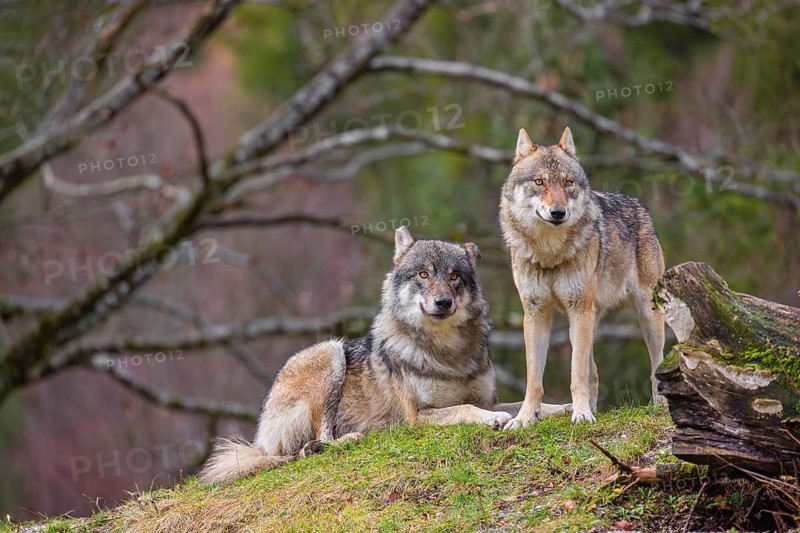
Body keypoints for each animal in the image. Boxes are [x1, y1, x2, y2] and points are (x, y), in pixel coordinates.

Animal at [200, 227, 570, 484]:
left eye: (454, 277)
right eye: (423, 274)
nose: (443, 303)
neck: (448, 353)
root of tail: (260, 439)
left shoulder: (489, 398)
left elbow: (525, 405)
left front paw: (565, 408)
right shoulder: (418, 415)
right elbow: (465, 408)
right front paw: (493, 420)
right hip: (330, 353)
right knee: (313, 443)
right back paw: (349, 439)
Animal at [499, 126, 666, 429]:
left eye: (567, 183)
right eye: (539, 182)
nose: (558, 212)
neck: (550, 253)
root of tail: (638, 205)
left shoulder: (579, 309)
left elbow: (576, 374)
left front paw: (582, 415)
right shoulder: (535, 313)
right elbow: (534, 379)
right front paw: (525, 418)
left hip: (644, 314)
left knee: (656, 364)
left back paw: (659, 403)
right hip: (584, 322)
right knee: (594, 372)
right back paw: (593, 407)